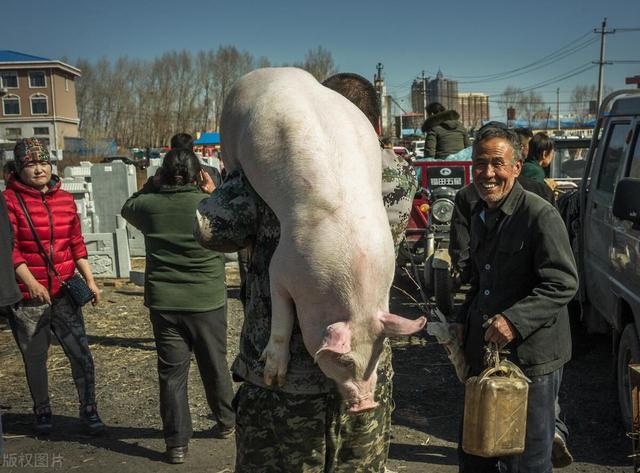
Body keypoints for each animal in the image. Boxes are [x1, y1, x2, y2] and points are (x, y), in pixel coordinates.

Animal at [200, 67, 424, 412]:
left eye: (376, 354)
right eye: (344, 361)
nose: (366, 404)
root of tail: (269, 71)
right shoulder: (281, 266)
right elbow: (280, 315)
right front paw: (273, 377)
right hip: (226, 137)